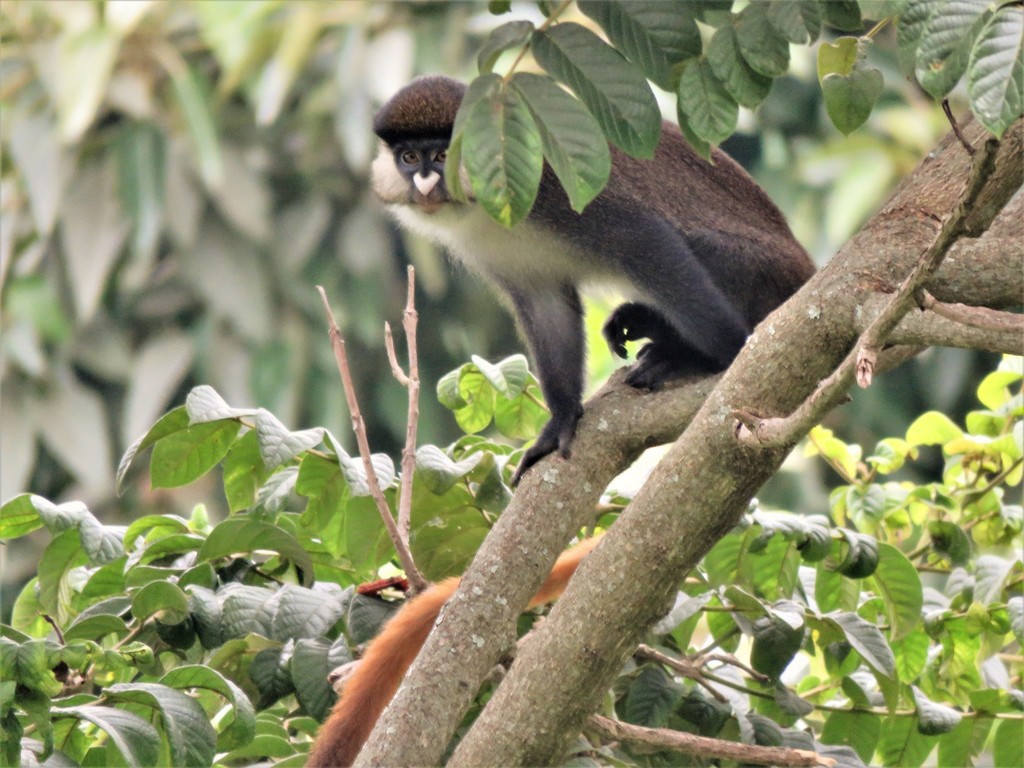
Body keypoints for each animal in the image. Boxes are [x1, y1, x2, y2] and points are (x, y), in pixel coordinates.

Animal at [369, 75, 815, 484]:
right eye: (409, 156)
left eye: (442, 154)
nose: (424, 182)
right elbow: (546, 307)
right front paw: (562, 419)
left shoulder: (556, 187)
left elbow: (643, 238)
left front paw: (724, 353)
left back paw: (684, 353)